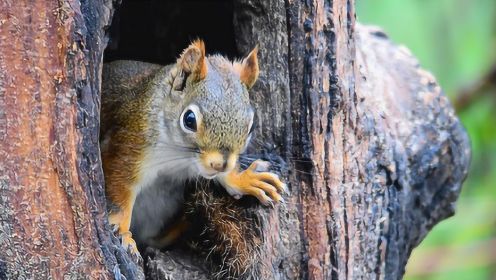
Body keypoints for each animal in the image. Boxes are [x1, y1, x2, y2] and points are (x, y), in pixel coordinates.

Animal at [101, 39, 286, 256]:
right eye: (189, 120)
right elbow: (120, 194)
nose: (220, 165)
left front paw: (243, 179)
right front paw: (122, 231)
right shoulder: (129, 146)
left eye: (252, 126)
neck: (179, 154)